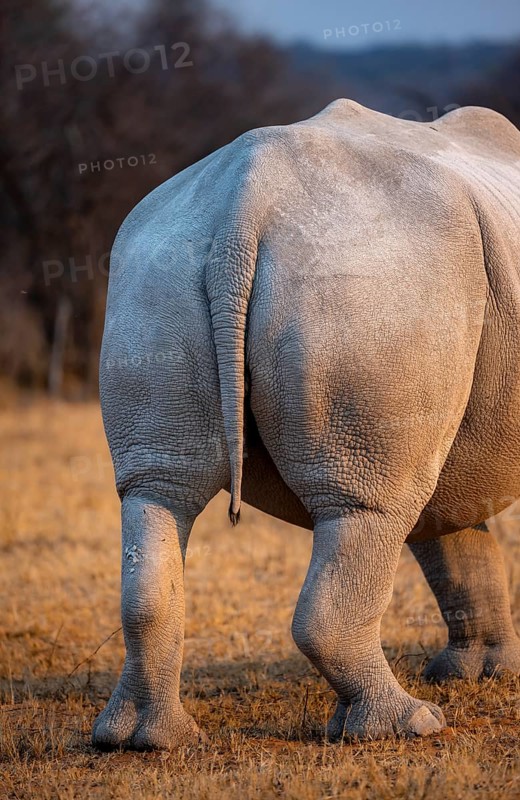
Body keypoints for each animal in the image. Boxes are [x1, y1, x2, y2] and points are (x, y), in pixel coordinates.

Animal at [93, 99, 520, 750]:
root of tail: (245, 200)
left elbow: (455, 538)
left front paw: (480, 674)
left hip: (155, 275)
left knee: (157, 491)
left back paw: (146, 740)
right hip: (379, 280)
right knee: (371, 505)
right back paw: (406, 725)